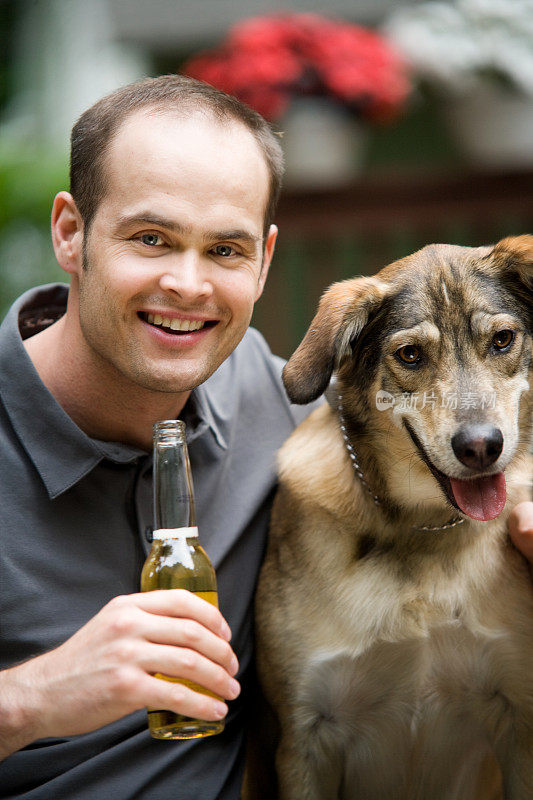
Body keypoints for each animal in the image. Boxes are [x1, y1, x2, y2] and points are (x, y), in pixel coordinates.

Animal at [252, 234, 532, 796]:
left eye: (503, 340)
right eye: (410, 354)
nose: (481, 447)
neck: (421, 528)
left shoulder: (521, 719)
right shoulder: (305, 738)